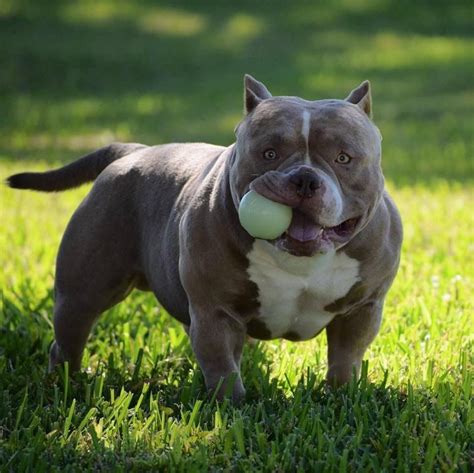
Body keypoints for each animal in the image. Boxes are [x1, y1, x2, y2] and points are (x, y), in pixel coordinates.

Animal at [7, 75, 400, 400]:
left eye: (344, 158)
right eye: (268, 153)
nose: (304, 179)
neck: (298, 261)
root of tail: (135, 152)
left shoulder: (363, 309)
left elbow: (345, 357)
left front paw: (341, 396)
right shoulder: (215, 311)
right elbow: (222, 366)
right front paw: (233, 407)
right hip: (84, 290)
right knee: (69, 335)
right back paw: (66, 382)